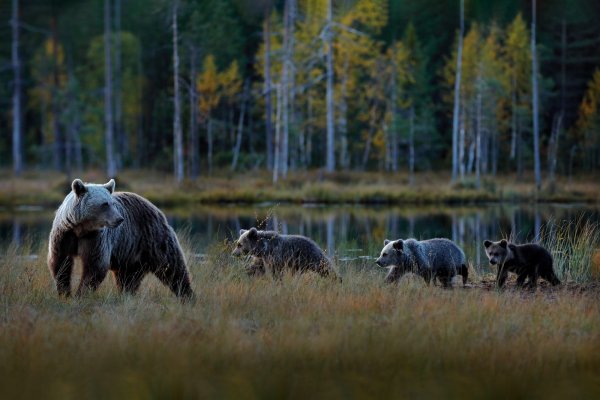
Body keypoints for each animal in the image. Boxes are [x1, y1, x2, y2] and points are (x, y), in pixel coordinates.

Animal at [49, 179, 195, 300]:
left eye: (113, 203)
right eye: (105, 204)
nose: (120, 219)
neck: (81, 229)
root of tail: (155, 207)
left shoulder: (95, 239)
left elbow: (95, 265)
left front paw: (80, 294)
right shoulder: (64, 235)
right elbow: (60, 262)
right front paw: (65, 293)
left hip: (154, 239)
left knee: (172, 267)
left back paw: (188, 296)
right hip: (130, 253)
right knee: (128, 278)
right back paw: (127, 294)